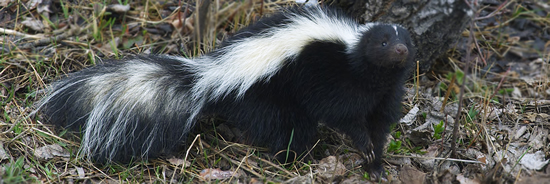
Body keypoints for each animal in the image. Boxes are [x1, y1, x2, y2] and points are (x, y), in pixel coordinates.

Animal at [36, 5, 416, 177]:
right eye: (383, 42)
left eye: (405, 40)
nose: (401, 50)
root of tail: (210, 74)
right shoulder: (334, 80)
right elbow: (346, 116)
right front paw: (364, 148)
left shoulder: (386, 93)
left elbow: (380, 124)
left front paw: (376, 163)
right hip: (267, 94)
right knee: (286, 126)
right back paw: (295, 157)